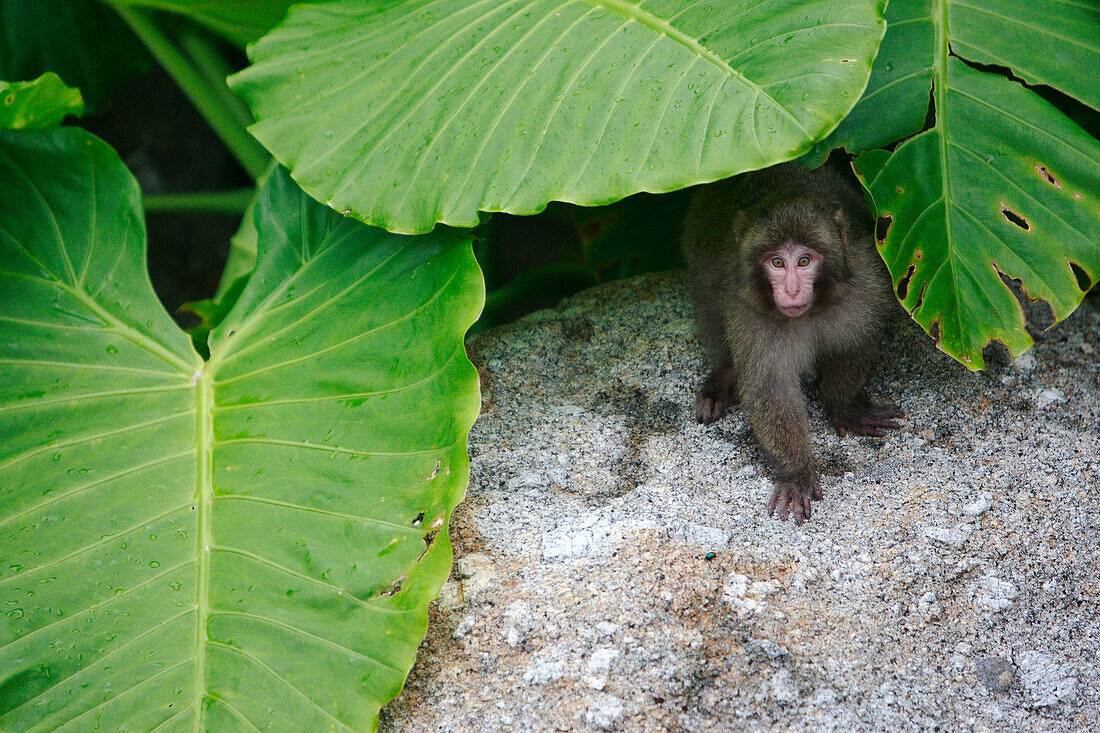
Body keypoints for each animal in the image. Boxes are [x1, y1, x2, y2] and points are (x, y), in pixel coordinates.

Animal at [677, 161, 902, 521]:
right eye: (777, 262)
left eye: (804, 261)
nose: (792, 290)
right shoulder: (751, 314)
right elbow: (770, 387)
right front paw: (796, 473)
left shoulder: (863, 286)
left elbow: (855, 341)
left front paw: (844, 406)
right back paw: (723, 378)